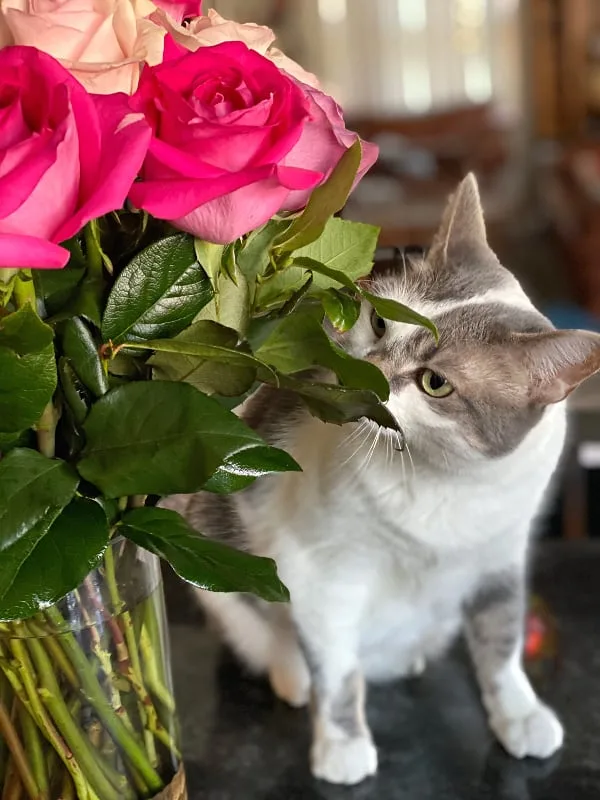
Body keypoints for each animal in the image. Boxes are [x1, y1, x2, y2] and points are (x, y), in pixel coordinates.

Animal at [166, 173, 600, 780]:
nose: (364, 376)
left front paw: (519, 714)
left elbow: (502, 641)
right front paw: (342, 747)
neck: (443, 481)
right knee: (281, 644)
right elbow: (337, 672)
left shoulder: (500, 558)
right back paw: (293, 677)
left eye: (435, 382)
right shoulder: (320, 573)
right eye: (378, 322)